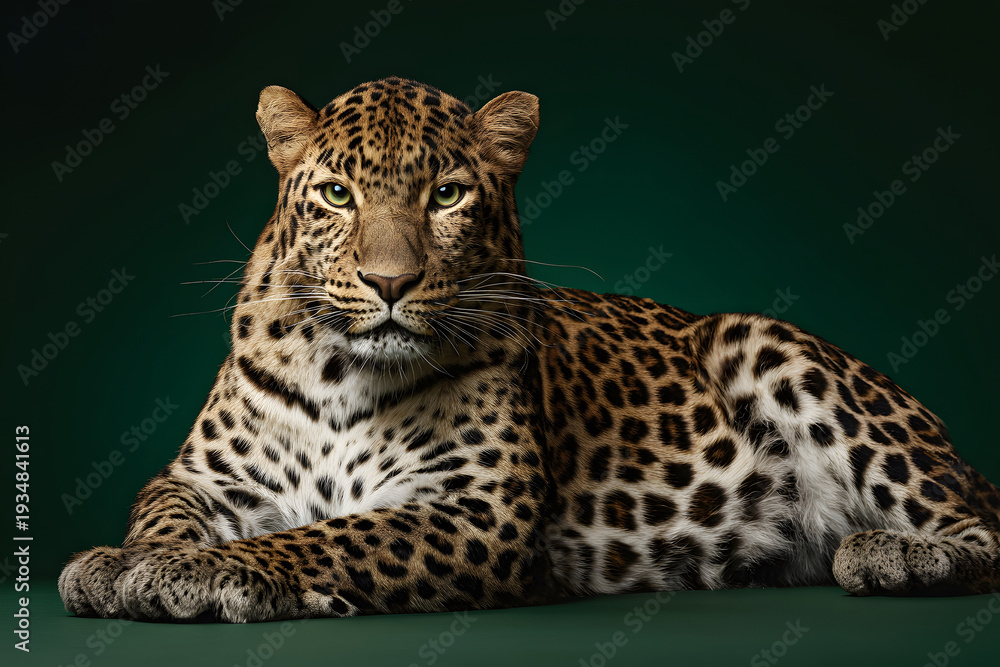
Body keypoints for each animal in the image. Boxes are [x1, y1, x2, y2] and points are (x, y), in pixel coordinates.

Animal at [59, 77, 1000, 623]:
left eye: (447, 195)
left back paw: (894, 551)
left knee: (980, 524)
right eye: (336, 194)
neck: (339, 371)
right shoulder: (202, 477)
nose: (389, 282)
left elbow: (327, 536)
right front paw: (124, 562)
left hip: (765, 342)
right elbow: (163, 513)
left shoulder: (478, 510)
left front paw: (201, 572)